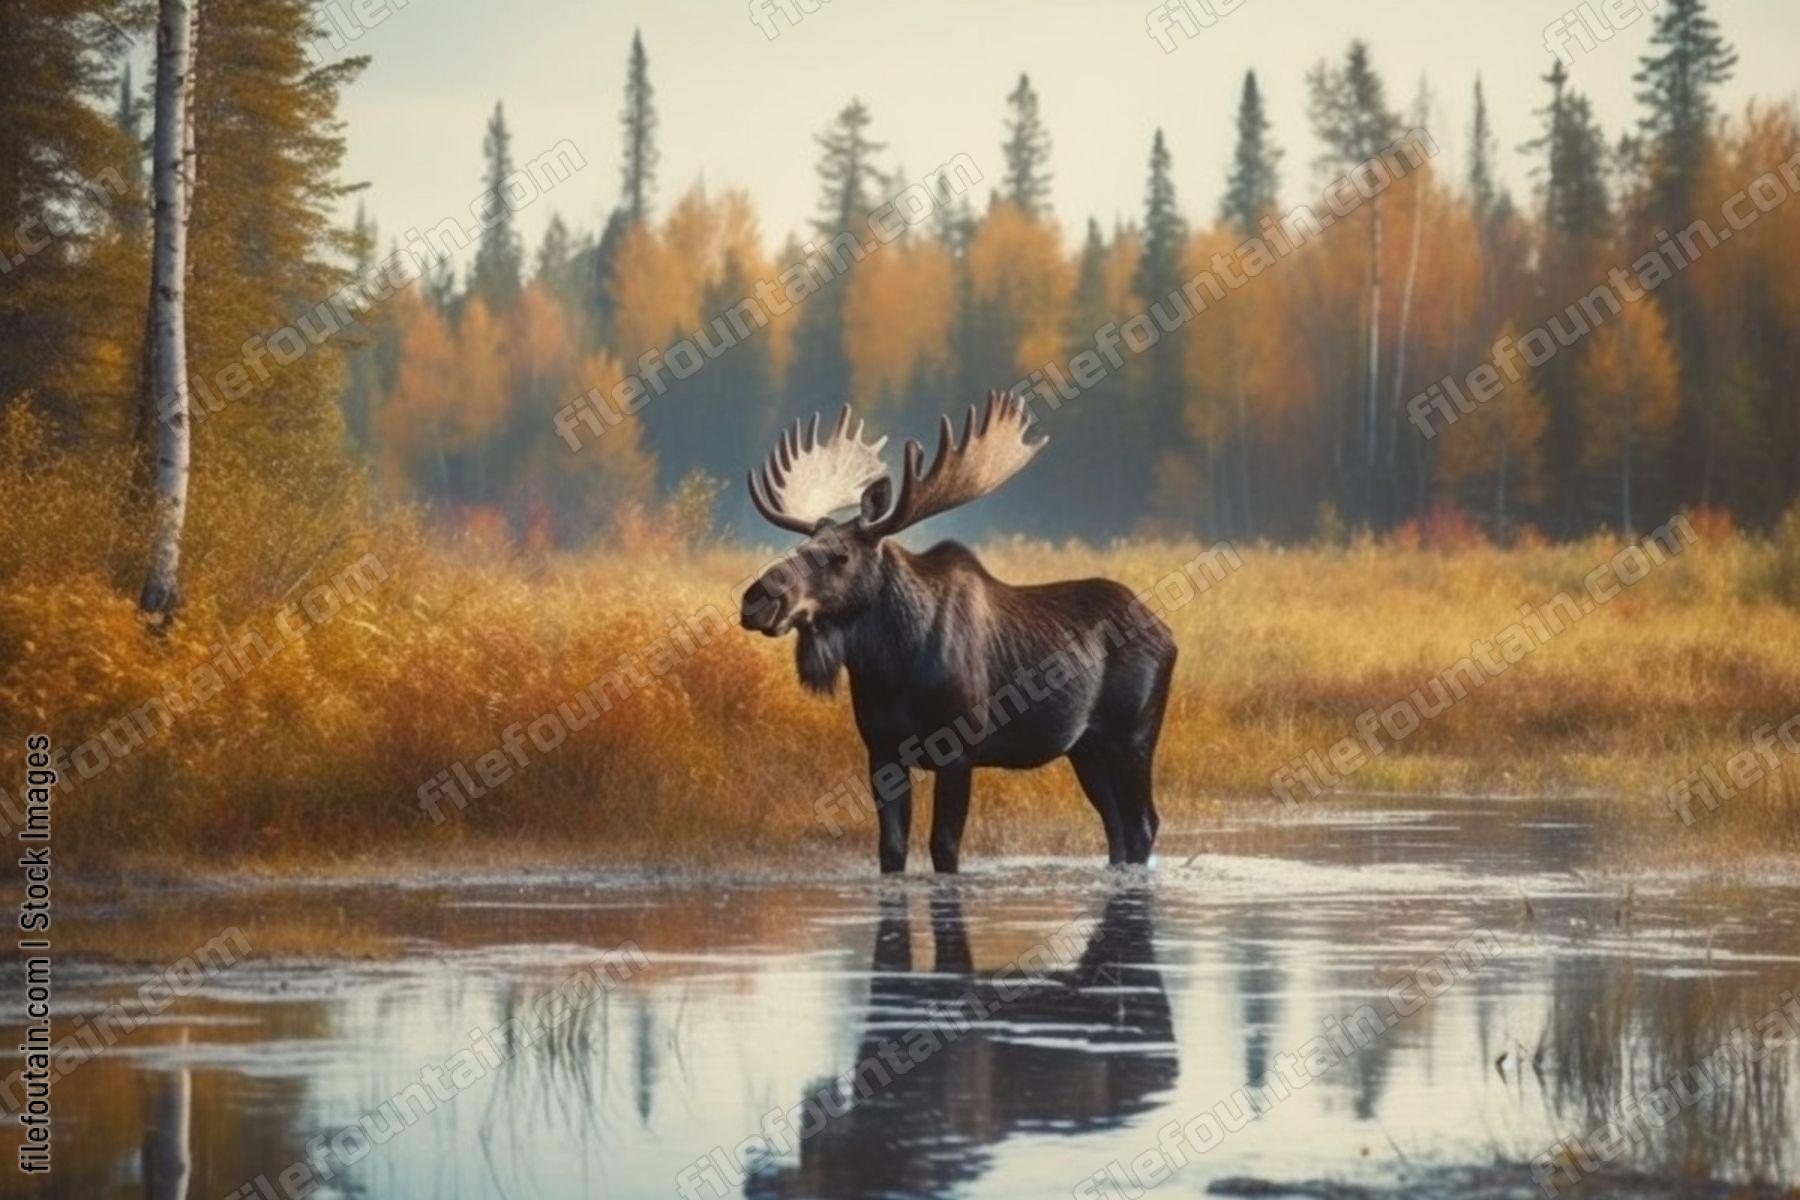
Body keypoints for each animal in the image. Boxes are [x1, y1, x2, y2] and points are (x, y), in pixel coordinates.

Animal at [739, 391, 1176, 874]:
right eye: (798, 547)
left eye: (840, 556)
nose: (757, 598)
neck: (888, 669)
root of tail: (1167, 633)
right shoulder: (881, 750)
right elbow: (891, 850)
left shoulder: (959, 752)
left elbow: (944, 848)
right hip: (1086, 747)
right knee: (1115, 825)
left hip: (1133, 734)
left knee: (1143, 822)